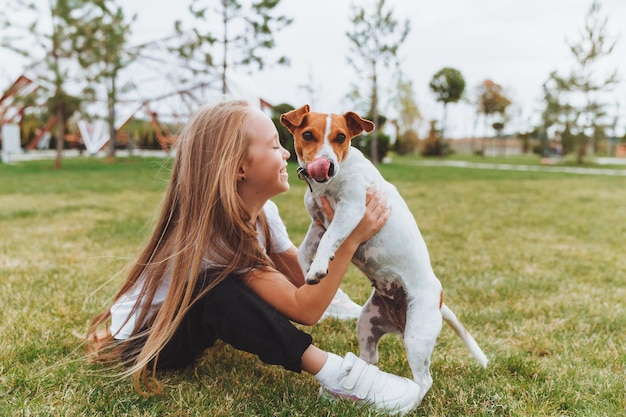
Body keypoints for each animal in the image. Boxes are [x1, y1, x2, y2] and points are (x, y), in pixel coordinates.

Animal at [280, 104, 488, 404]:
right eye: (307, 135)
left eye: (341, 137)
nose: (327, 165)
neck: (330, 182)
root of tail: (438, 299)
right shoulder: (318, 223)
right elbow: (305, 249)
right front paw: (310, 268)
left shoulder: (351, 210)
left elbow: (329, 239)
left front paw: (318, 267)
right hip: (367, 324)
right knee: (371, 359)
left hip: (417, 338)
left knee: (424, 380)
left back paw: (409, 402)